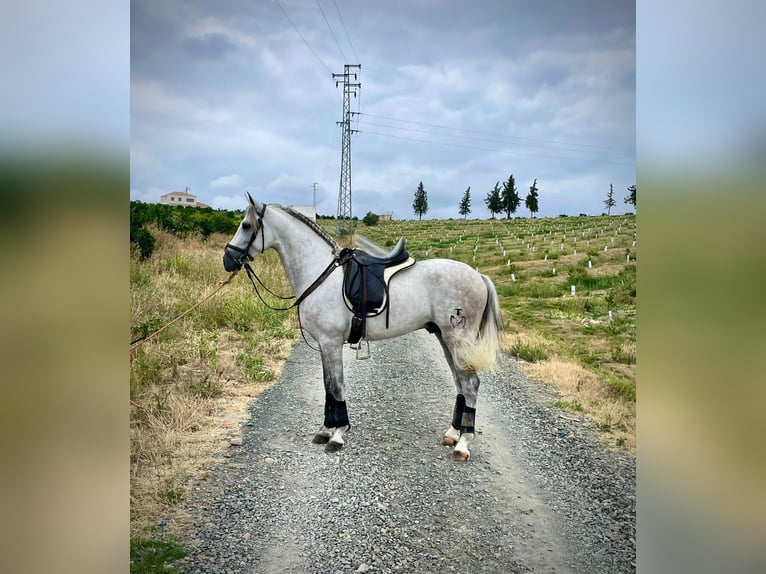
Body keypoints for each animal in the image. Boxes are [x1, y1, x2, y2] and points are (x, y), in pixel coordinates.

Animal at [225, 196, 508, 462]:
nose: (228, 259)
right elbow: (328, 386)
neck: (320, 274)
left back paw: (463, 444)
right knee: (460, 383)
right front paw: (326, 430)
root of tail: (478, 276)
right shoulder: (325, 345)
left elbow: (336, 386)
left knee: (470, 384)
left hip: (457, 339)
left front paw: (337, 435)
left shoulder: (330, 342)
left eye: (246, 225)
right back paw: (452, 434)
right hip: (445, 338)